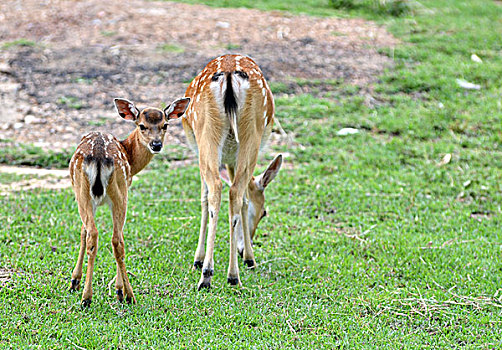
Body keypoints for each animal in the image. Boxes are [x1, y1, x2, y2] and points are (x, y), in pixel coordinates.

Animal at [68, 96, 190, 306]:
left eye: (165, 125)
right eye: (142, 126)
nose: (156, 144)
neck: (130, 156)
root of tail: (98, 156)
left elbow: (83, 232)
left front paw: (74, 281)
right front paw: (118, 289)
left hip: (83, 193)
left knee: (94, 234)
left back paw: (87, 297)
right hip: (120, 191)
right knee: (117, 240)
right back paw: (128, 294)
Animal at [171, 54, 284, 290]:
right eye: (264, 212)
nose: (243, 249)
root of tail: (231, 74)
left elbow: (206, 198)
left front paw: (199, 259)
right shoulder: (231, 158)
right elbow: (243, 200)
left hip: (208, 133)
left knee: (219, 189)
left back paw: (211, 273)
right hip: (248, 134)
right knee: (234, 192)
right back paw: (230, 274)